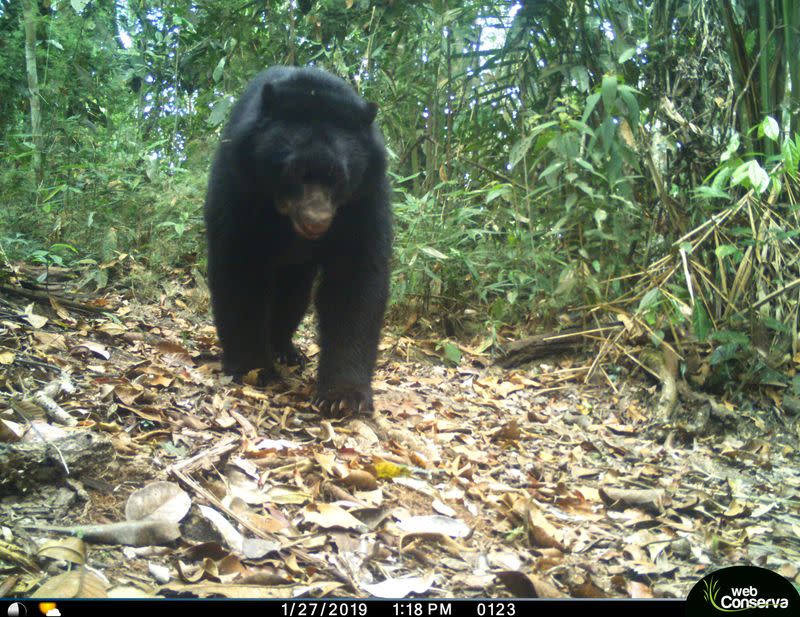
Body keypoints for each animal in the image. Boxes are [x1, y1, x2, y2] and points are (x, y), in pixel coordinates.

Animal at [205, 65, 392, 416]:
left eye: (340, 176)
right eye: (293, 171)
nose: (316, 221)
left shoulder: (363, 201)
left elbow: (355, 281)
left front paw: (343, 396)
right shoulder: (240, 186)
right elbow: (239, 267)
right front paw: (253, 368)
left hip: (298, 268)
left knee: (292, 298)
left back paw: (285, 349)